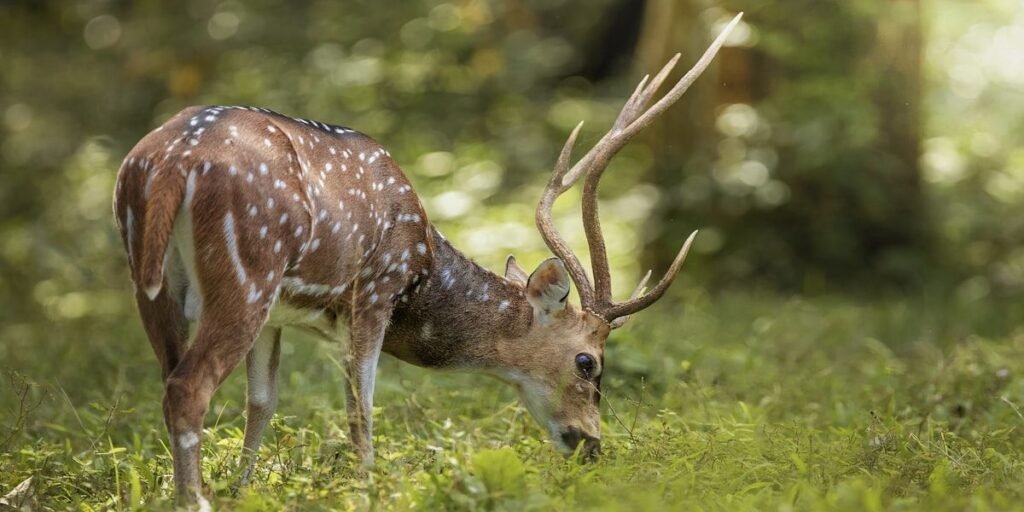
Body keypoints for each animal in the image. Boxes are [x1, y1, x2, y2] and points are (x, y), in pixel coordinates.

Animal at [111, 14, 741, 505]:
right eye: (588, 363)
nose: (591, 445)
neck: (424, 267)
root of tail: (169, 162)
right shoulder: (373, 291)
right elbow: (361, 409)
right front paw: (366, 490)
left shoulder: (281, 315)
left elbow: (261, 405)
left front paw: (245, 493)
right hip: (247, 269)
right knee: (187, 387)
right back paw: (193, 501)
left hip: (155, 281)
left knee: (170, 378)